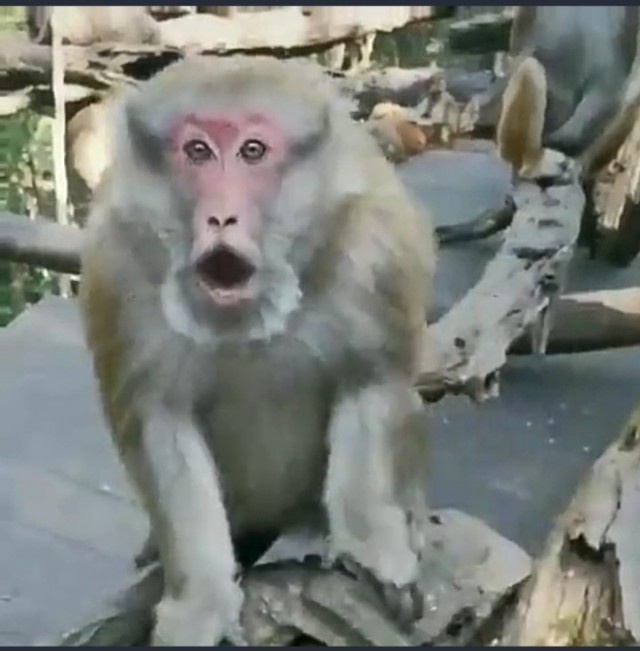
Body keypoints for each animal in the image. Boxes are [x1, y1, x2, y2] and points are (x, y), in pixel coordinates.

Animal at [79, 55, 436, 646]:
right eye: (198, 151)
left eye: (252, 151)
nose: (221, 217)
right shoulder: (115, 267)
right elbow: (159, 423)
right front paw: (201, 604)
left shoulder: (375, 245)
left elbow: (370, 380)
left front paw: (372, 546)